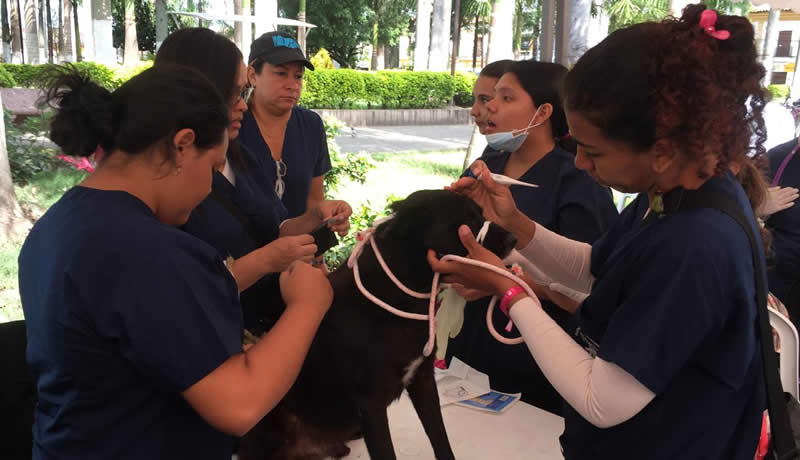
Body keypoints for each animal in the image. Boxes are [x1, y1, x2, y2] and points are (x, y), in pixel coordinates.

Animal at [238, 190, 516, 460]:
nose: (514, 239)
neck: (398, 295)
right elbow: (386, 451)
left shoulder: (423, 379)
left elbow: (439, 435)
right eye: (468, 220)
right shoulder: (371, 402)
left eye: (482, 212)